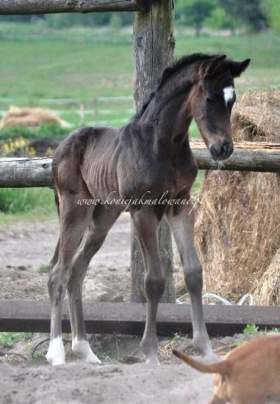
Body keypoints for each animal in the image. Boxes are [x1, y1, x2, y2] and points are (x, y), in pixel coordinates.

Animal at [46, 53, 249, 366]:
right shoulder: (144, 211)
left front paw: (205, 349)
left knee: (76, 271)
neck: (163, 145)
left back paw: (85, 350)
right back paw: (56, 352)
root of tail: (61, 148)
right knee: (58, 272)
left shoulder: (180, 206)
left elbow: (194, 273)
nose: (223, 149)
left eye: (232, 99)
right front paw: (150, 352)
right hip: (74, 211)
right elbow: (153, 280)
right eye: (209, 98)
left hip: (103, 217)